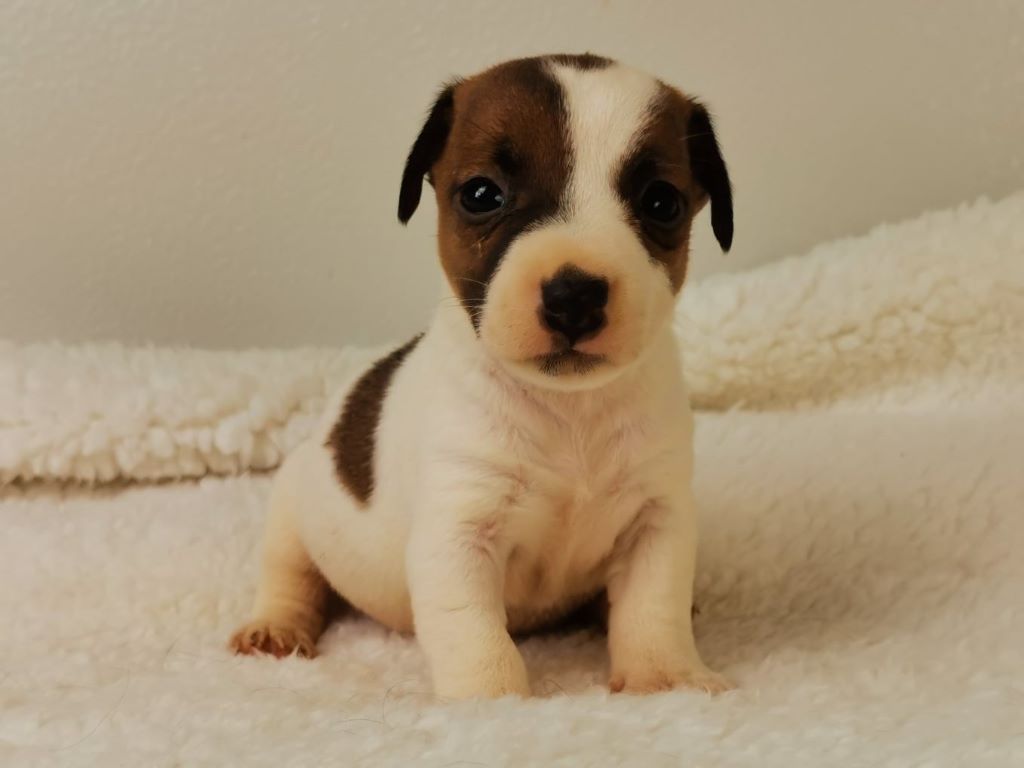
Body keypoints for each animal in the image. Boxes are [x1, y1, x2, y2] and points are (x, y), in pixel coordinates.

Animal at [230, 54, 737, 704]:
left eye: (661, 203)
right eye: (481, 194)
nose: (573, 296)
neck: (568, 409)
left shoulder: (657, 521)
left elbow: (653, 605)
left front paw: (665, 678)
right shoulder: (457, 533)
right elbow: (474, 634)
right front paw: (492, 703)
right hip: (292, 513)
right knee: (290, 576)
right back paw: (276, 626)